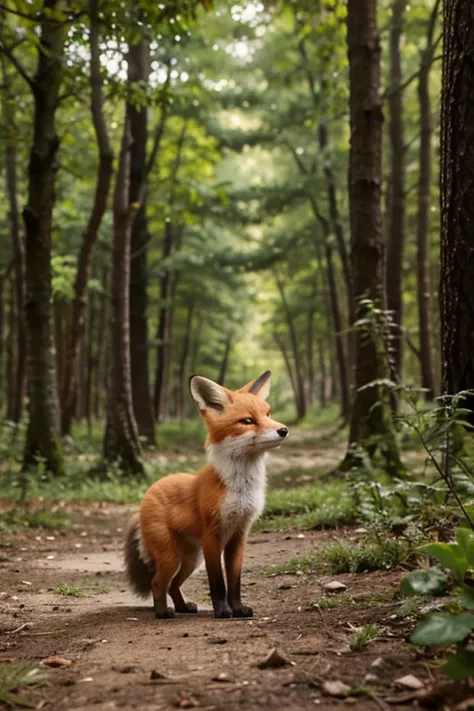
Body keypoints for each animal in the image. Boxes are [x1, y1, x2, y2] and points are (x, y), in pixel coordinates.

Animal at [125, 372, 288, 616]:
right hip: (172, 557)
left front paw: (237, 608)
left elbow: (234, 581)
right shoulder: (212, 534)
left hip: (191, 559)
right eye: (247, 421)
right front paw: (222, 611)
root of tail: (152, 488)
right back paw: (163, 612)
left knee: (173, 585)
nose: (284, 430)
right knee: (157, 582)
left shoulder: (239, 535)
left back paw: (183, 607)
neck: (241, 488)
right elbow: (217, 581)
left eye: (268, 414)